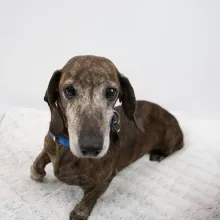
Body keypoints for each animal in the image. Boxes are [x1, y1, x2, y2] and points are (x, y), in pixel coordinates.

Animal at [29, 55, 184, 220]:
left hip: (170, 141)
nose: (91, 147)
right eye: (69, 90)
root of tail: (171, 115)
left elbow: (90, 196)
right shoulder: (49, 145)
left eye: (111, 92)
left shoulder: (106, 179)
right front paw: (37, 173)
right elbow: (39, 161)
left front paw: (80, 211)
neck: (68, 150)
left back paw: (158, 155)